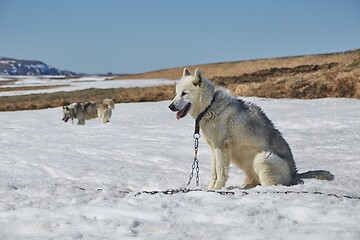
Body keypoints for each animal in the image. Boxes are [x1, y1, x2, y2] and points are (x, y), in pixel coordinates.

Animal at [167, 67, 334, 189]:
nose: (170, 106)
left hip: (263, 158)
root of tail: (295, 175)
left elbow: (221, 173)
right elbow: (214, 172)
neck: (210, 106)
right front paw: (209, 189)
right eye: (176, 93)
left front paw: (216, 189)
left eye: (184, 93)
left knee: (270, 185)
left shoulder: (221, 147)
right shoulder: (213, 148)